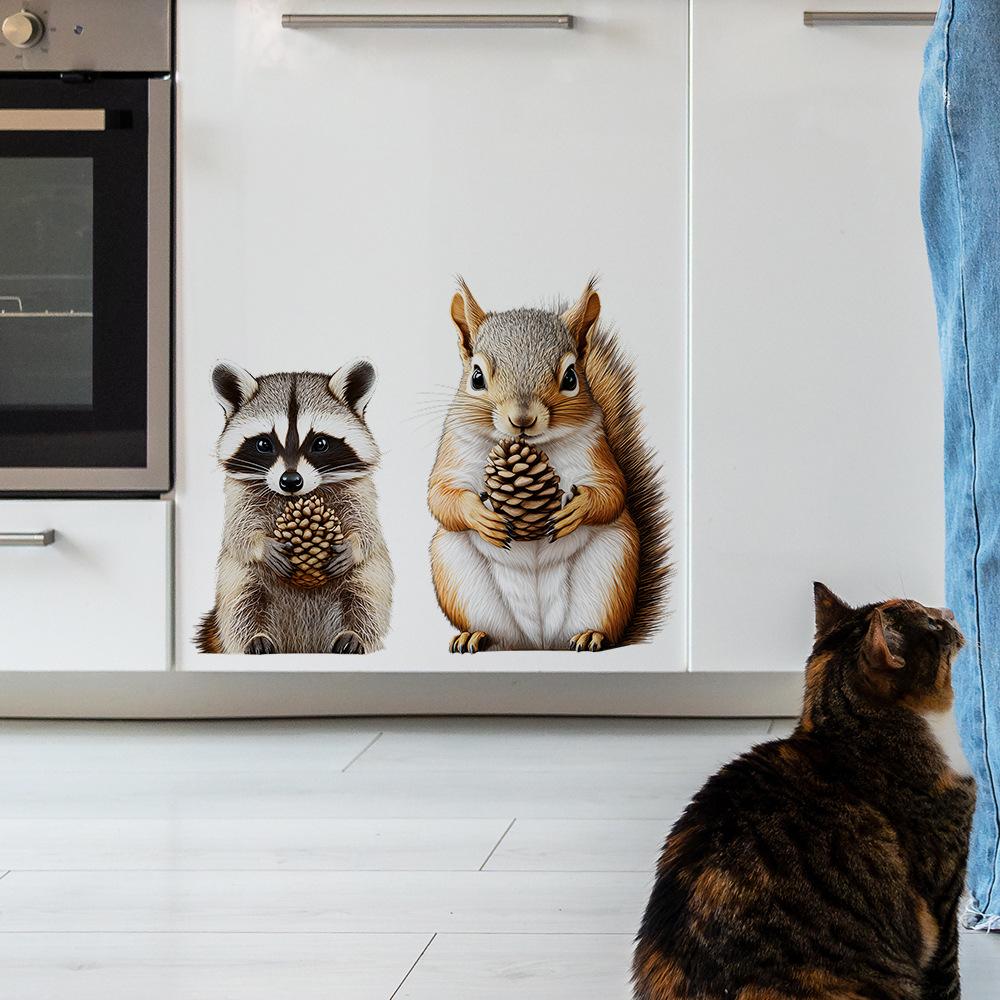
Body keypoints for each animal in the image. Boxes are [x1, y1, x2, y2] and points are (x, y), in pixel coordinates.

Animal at [196, 360, 394, 655]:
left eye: (320, 443)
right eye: (264, 443)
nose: (290, 481)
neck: (296, 499)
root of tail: (302, 645)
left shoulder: (360, 490)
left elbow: (368, 528)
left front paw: (355, 544)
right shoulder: (239, 494)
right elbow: (238, 532)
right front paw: (261, 545)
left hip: (365, 579)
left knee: (366, 594)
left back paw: (355, 634)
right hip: (239, 580)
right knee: (240, 598)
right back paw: (254, 637)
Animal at [428, 279, 670, 653]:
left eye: (571, 378)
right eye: (476, 377)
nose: (522, 419)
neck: (533, 448)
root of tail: (539, 642)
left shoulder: (597, 452)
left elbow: (613, 491)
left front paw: (577, 509)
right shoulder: (453, 450)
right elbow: (440, 495)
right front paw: (480, 516)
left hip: (611, 569)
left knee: (604, 626)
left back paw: (590, 635)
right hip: (456, 572)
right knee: (496, 634)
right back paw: (475, 635)